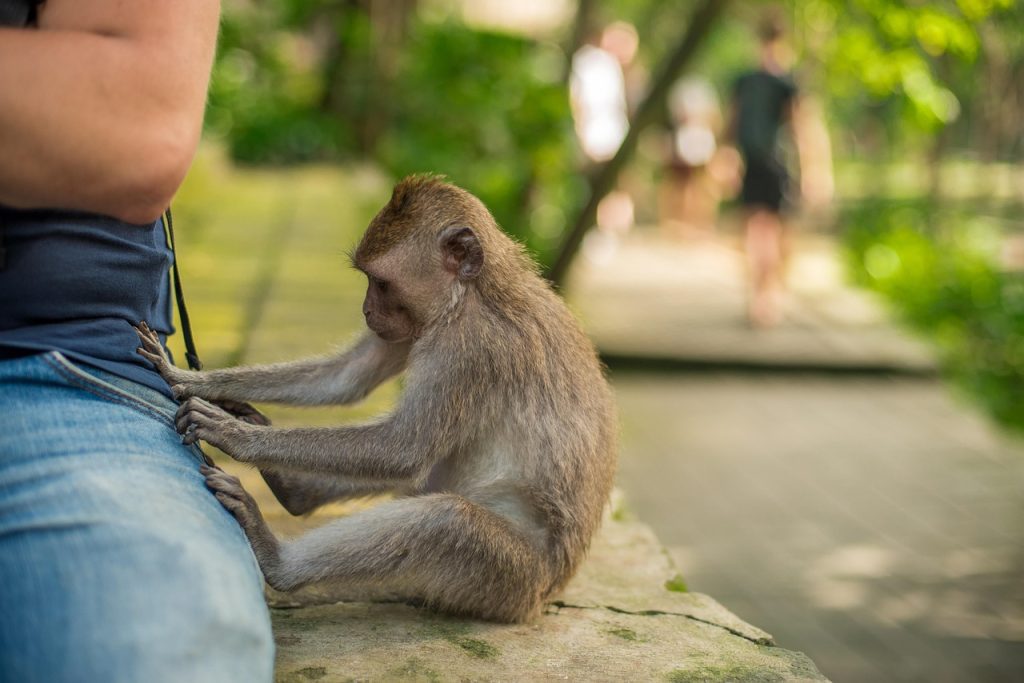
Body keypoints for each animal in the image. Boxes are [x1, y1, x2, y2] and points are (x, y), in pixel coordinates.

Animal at [134, 176, 618, 623]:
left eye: (381, 283)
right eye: (367, 279)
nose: (366, 310)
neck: (471, 293)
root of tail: (544, 598)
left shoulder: (470, 348)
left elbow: (403, 450)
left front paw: (235, 436)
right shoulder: (417, 327)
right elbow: (349, 377)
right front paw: (195, 380)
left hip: (509, 580)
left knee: (444, 518)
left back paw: (279, 561)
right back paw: (294, 490)